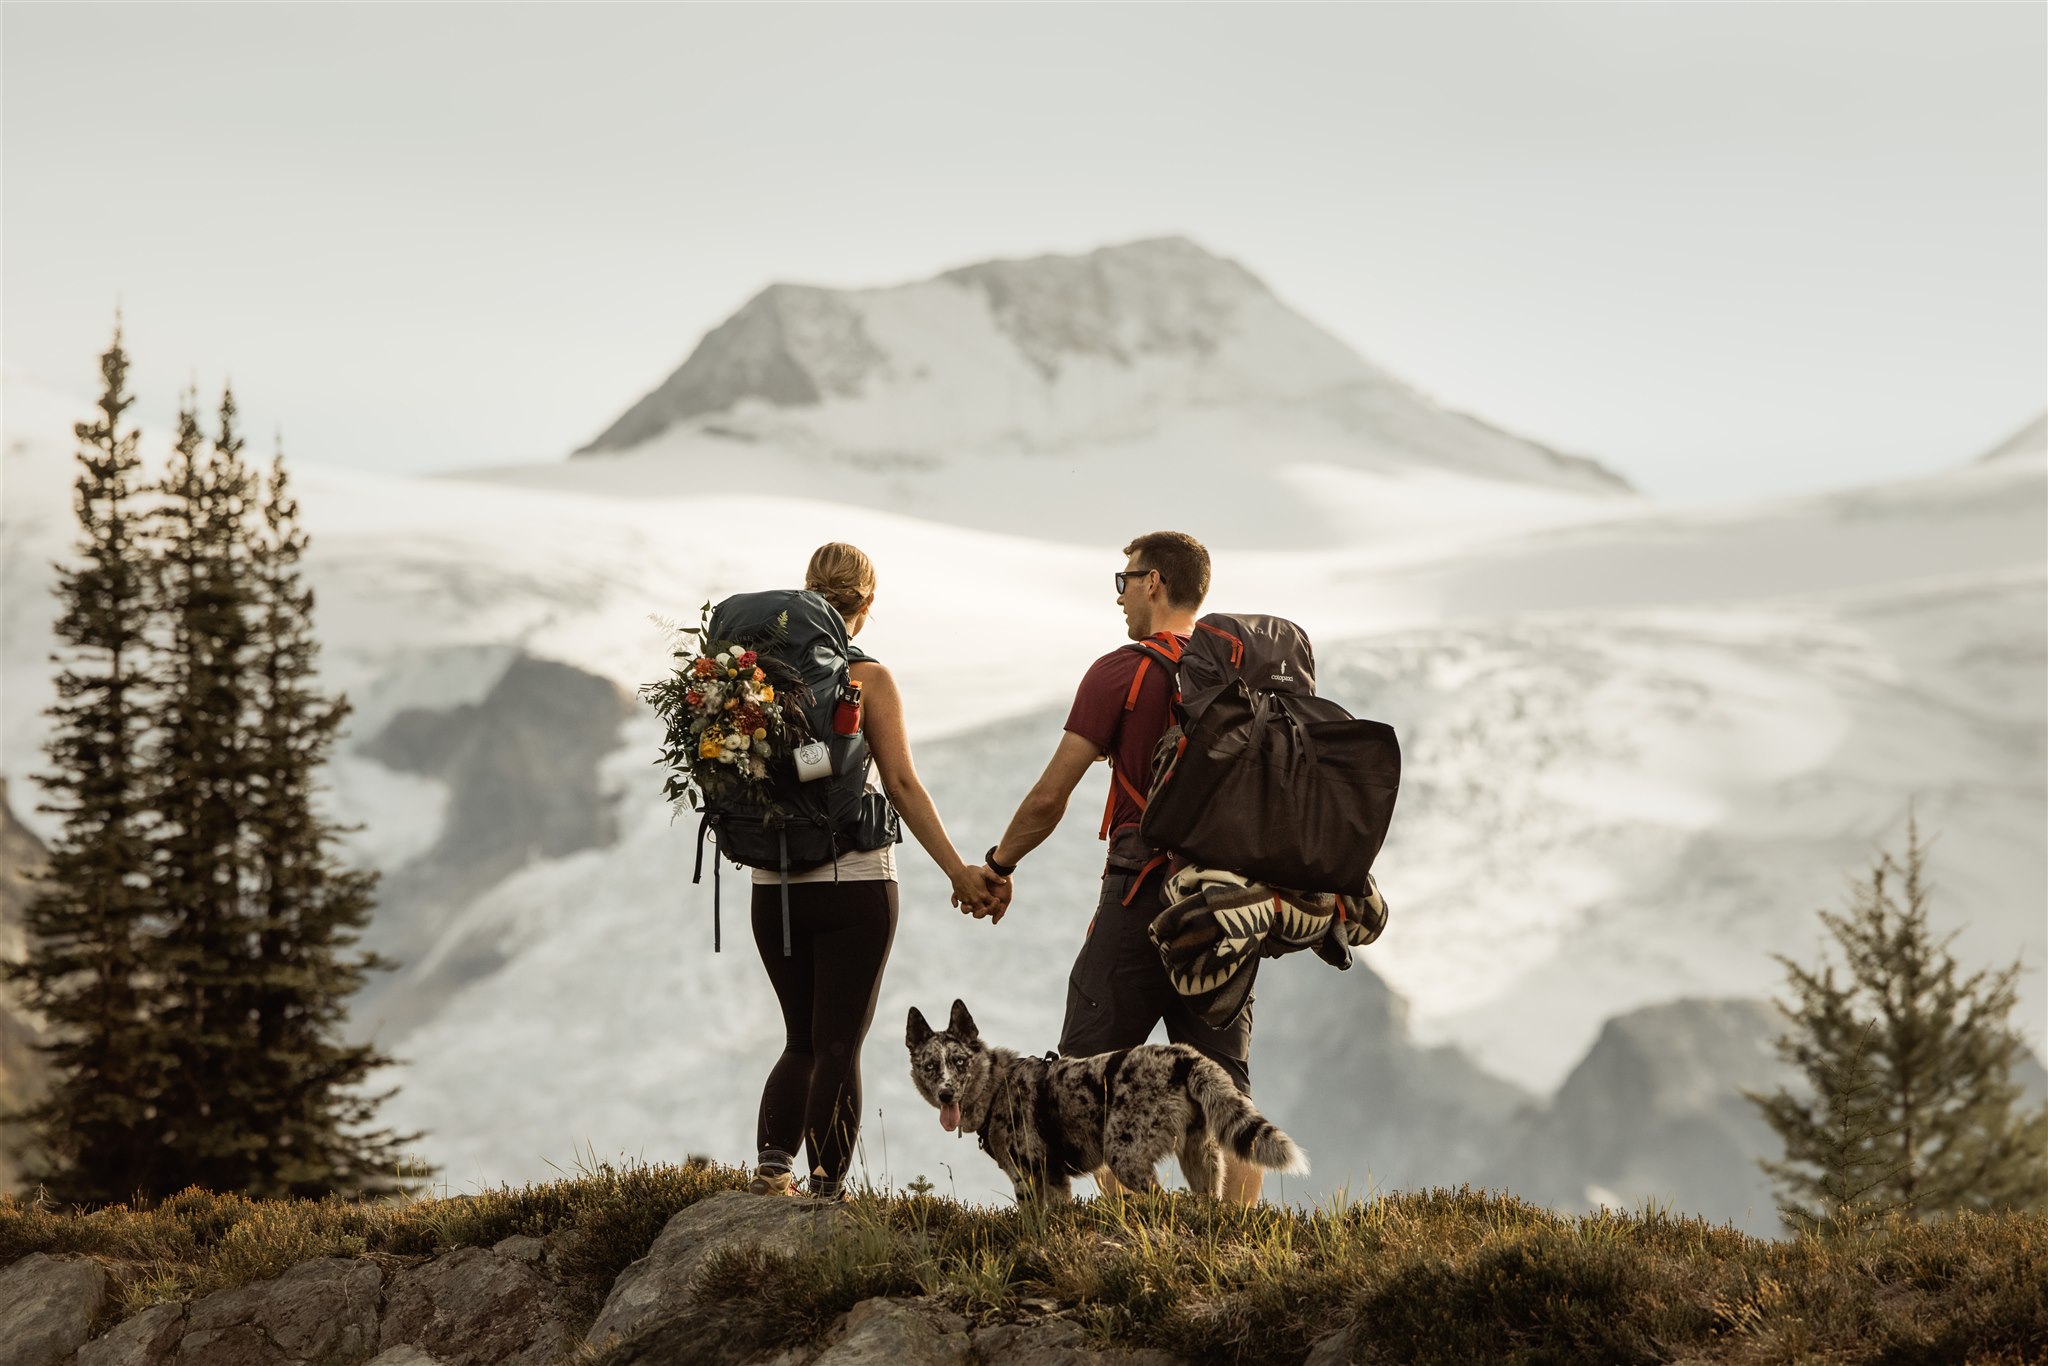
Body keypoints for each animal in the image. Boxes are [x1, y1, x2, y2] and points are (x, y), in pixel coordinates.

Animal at [901, 999, 1310, 1204]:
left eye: (959, 1062)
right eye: (930, 1066)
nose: (946, 1093)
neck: (996, 1084)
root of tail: (1183, 1057)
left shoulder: (1028, 1178)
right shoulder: (1055, 1181)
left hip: (1124, 1158)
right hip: (1201, 1159)